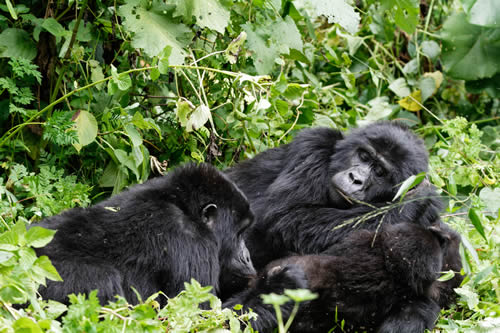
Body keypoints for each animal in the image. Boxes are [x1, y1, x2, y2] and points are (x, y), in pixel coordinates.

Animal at [34, 162, 304, 330]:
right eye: (239, 233)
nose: (247, 257)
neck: (184, 207)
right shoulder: (192, 244)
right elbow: (192, 321)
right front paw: (281, 287)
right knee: (103, 279)